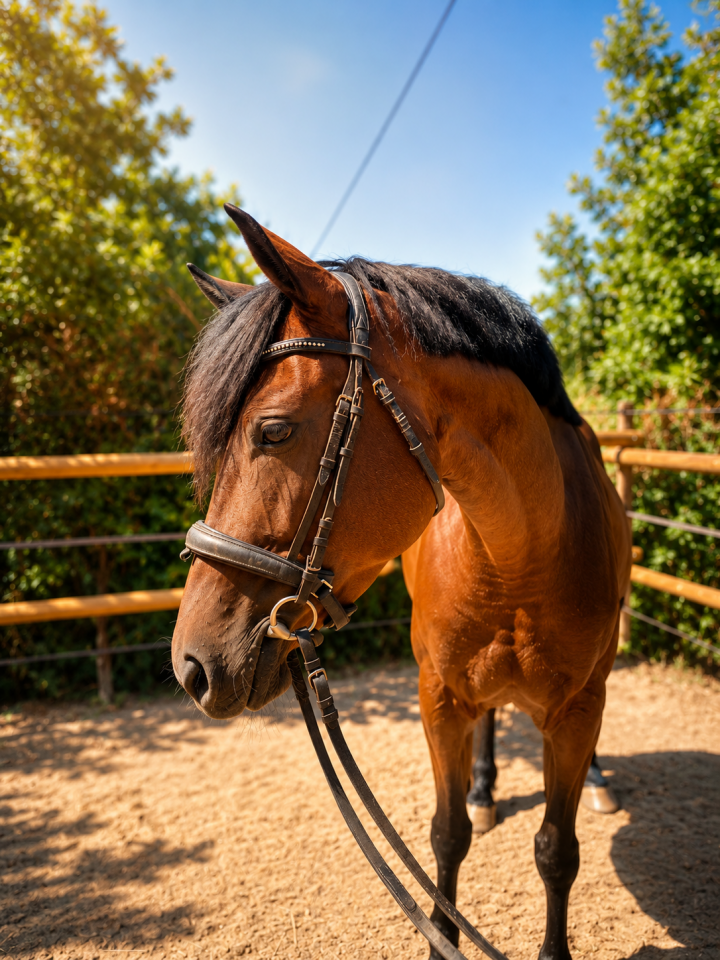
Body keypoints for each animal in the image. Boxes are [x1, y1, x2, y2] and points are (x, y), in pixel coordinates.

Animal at [172, 204, 631, 960]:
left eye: (273, 431)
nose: (192, 664)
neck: (520, 556)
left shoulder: (574, 709)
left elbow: (556, 851)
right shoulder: (438, 697)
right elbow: (447, 835)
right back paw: (485, 788)